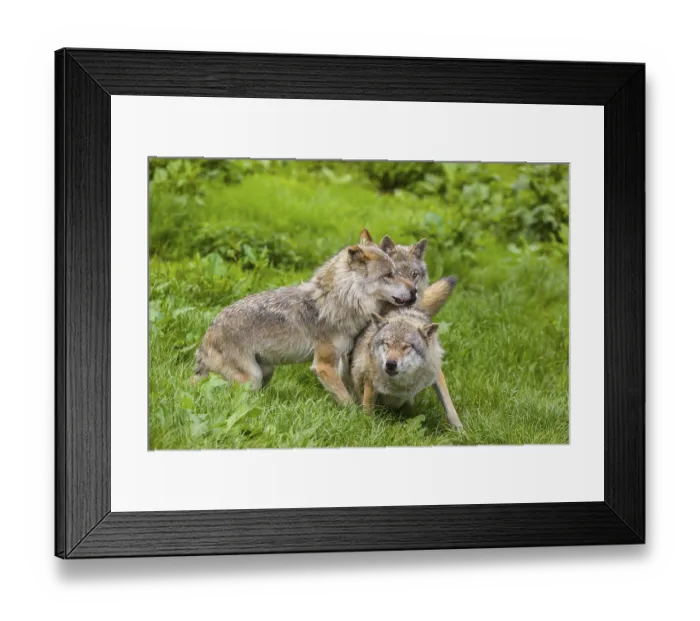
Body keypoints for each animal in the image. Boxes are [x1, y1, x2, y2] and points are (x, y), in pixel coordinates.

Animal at [191, 244, 417, 405]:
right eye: (389, 275)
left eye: (396, 272)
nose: (414, 291)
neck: (341, 301)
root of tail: (206, 336)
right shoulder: (324, 365)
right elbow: (347, 401)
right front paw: (358, 419)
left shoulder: (341, 360)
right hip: (252, 378)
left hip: (266, 371)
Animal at [348, 276, 463, 429]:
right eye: (387, 344)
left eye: (406, 347)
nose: (390, 364)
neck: (402, 385)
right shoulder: (370, 382)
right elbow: (368, 413)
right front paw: (369, 426)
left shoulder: (436, 373)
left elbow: (450, 407)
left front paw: (460, 430)